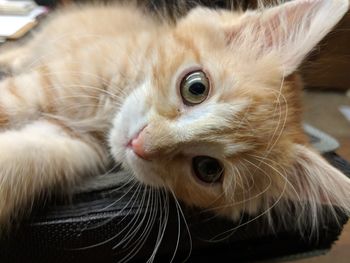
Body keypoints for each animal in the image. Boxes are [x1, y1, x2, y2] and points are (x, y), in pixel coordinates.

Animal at [0, 0, 348, 235]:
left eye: (208, 169)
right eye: (196, 87)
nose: (139, 143)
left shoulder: (67, 143)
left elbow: (21, 158)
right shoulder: (49, 81)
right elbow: (9, 101)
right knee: (22, 51)